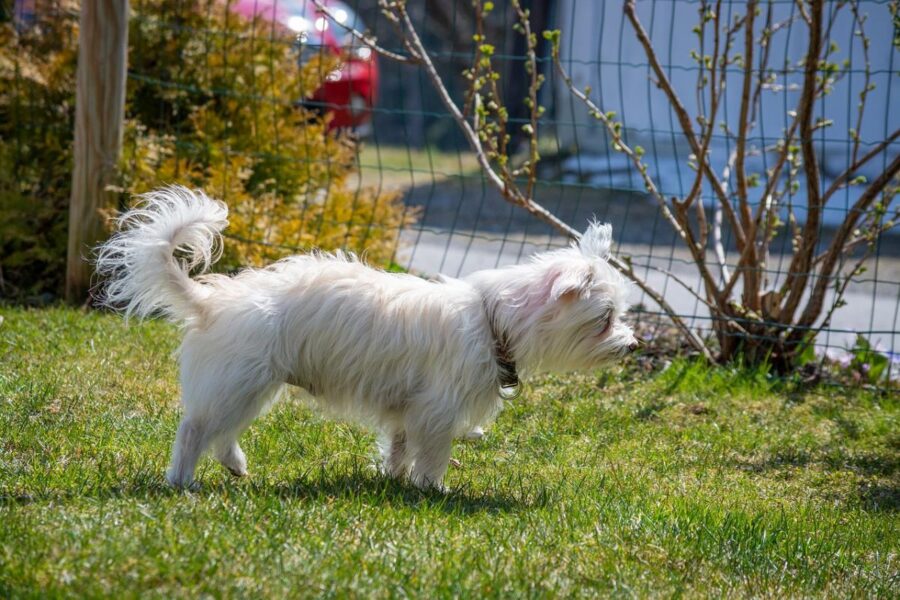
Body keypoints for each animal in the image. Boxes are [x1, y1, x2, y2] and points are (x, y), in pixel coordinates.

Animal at [95, 186, 636, 488]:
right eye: (605, 318)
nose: (633, 346)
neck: (491, 321)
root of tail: (210, 299)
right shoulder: (436, 412)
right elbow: (432, 454)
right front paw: (430, 490)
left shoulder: (406, 411)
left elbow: (397, 446)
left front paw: (392, 479)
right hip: (239, 382)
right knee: (195, 431)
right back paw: (180, 482)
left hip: (249, 387)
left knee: (221, 433)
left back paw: (236, 467)